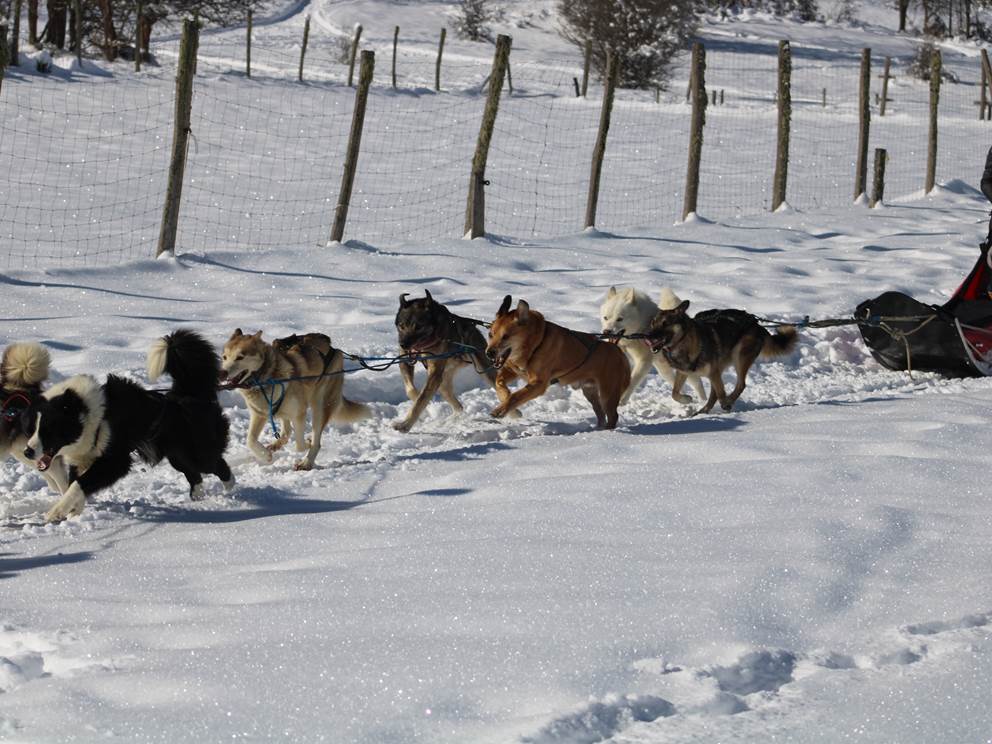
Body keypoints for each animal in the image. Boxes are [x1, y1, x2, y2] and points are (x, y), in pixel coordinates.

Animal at [24, 328, 233, 520]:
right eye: (32, 429)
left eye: (48, 430)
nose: (27, 452)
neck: (88, 413)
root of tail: (188, 395)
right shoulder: (84, 457)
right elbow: (75, 483)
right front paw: (74, 511)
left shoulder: (115, 460)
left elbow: (79, 483)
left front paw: (56, 511)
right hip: (177, 455)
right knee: (195, 474)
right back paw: (198, 497)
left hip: (197, 451)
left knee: (217, 465)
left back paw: (230, 490)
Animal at [219, 332, 370, 470]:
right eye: (224, 357)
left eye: (240, 357)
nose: (222, 373)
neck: (267, 378)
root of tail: (332, 347)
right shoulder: (259, 414)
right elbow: (250, 440)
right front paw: (265, 455)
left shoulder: (299, 413)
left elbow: (300, 446)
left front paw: (307, 443)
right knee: (287, 431)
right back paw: (276, 444)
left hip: (320, 405)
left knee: (315, 441)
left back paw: (306, 462)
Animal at [486, 294, 632, 428]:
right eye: (490, 334)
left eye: (505, 336)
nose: (489, 353)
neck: (535, 344)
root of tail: (617, 349)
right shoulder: (513, 371)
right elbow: (499, 383)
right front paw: (508, 404)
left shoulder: (539, 384)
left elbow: (516, 396)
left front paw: (500, 410)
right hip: (590, 391)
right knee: (601, 413)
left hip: (608, 394)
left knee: (613, 415)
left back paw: (608, 431)